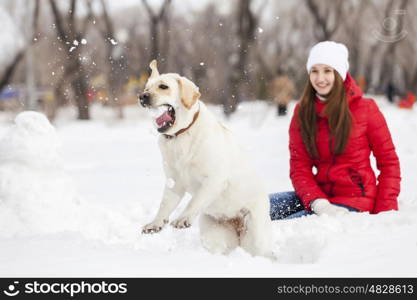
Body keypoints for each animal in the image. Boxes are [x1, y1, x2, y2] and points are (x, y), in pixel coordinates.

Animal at [138, 61, 272, 258]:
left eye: (163, 86)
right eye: (146, 87)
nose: (142, 97)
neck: (181, 136)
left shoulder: (214, 179)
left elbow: (195, 200)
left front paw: (183, 218)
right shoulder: (173, 183)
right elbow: (164, 205)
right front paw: (155, 223)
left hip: (255, 235)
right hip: (214, 235)